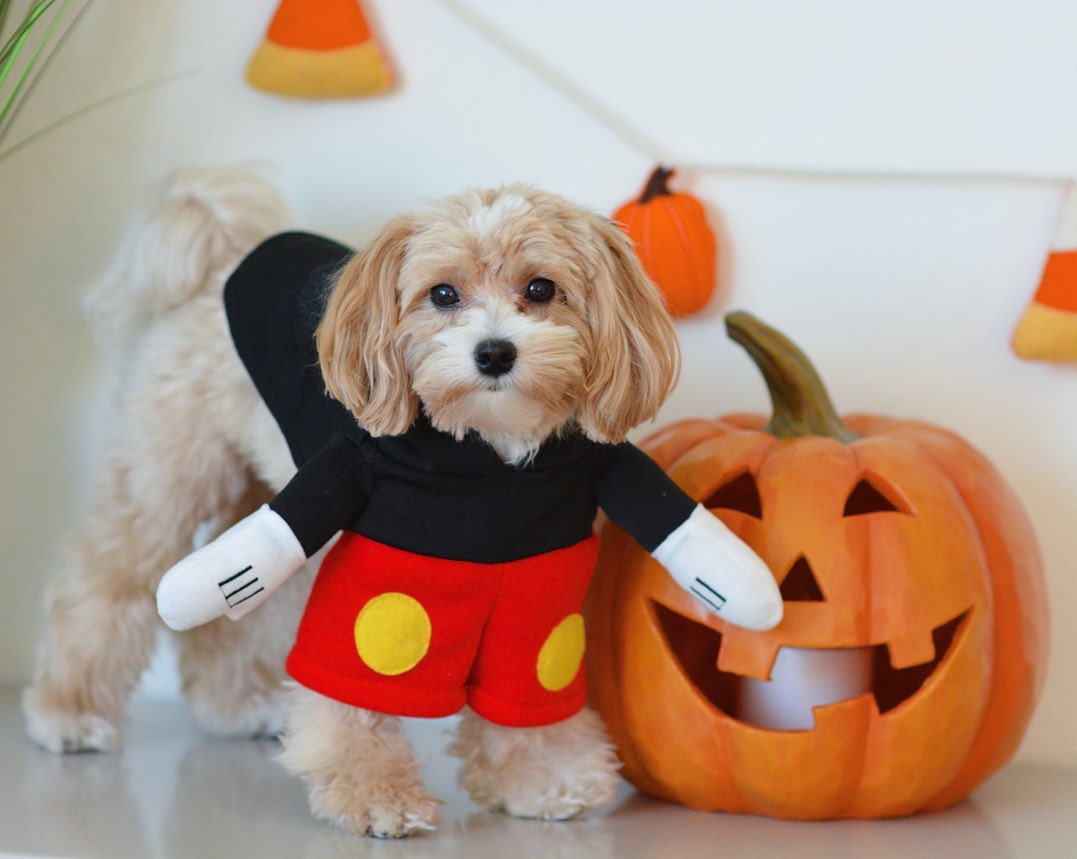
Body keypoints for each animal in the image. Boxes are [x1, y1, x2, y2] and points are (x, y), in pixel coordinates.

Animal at [25, 167, 784, 839]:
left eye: (541, 288)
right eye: (442, 293)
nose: (494, 352)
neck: (492, 468)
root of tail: (217, 266)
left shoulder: (540, 603)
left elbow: (529, 695)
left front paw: (541, 780)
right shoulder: (377, 579)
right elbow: (352, 699)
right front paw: (376, 798)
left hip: (267, 489)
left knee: (235, 615)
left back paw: (235, 705)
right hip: (164, 477)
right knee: (105, 582)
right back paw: (68, 712)